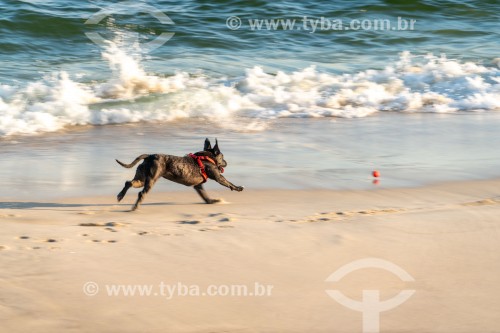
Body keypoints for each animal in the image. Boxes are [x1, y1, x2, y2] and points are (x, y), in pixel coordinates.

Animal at [115, 137, 244, 210]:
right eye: (223, 157)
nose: (226, 162)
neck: (207, 157)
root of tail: (150, 156)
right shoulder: (218, 177)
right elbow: (229, 183)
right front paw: (238, 188)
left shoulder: (198, 185)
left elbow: (204, 195)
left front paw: (211, 201)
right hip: (151, 179)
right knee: (141, 193)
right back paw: (135, 206)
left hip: (141, 178)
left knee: (129, 183)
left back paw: (120, 196)